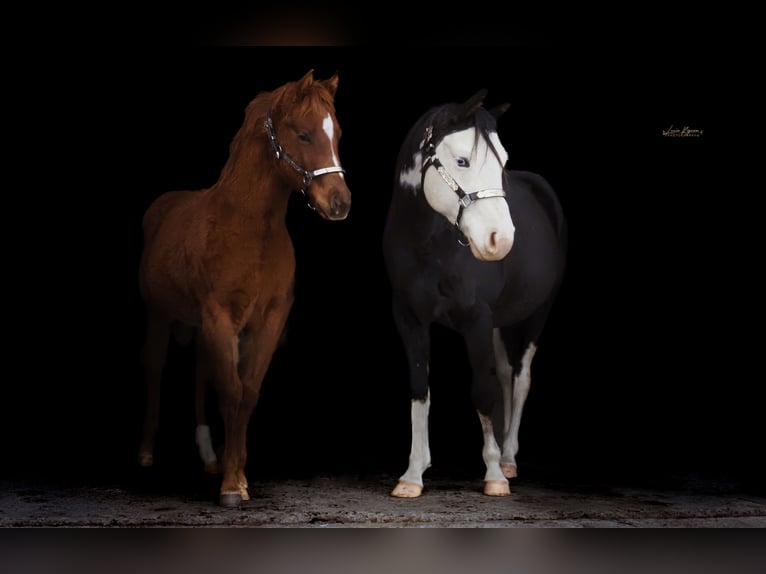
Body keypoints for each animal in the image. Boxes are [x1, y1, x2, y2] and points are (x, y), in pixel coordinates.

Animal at [137, 69, 351, 507]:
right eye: (303, 134)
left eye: (336, 133)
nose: (340, 203)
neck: (251, 230)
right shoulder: (220, 317)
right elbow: (231, 392)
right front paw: (232, 487)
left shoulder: (267, 320)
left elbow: (247, 392)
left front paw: (234, 471)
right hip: (160, 315)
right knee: (155, 367)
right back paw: (147, 453)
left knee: (200, 371)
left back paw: (208, 457)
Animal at [382, 89, 567, 497]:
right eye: (462, 160)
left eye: (504, 162)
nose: (502, 240)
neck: (431, 248)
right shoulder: (409, 319)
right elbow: (420, 389)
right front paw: (413, 473)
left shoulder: (477, 320)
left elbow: (483, 390)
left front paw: (494, 474)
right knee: (505, 373)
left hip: (538, 313)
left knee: (520, 378)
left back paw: (509, 458)